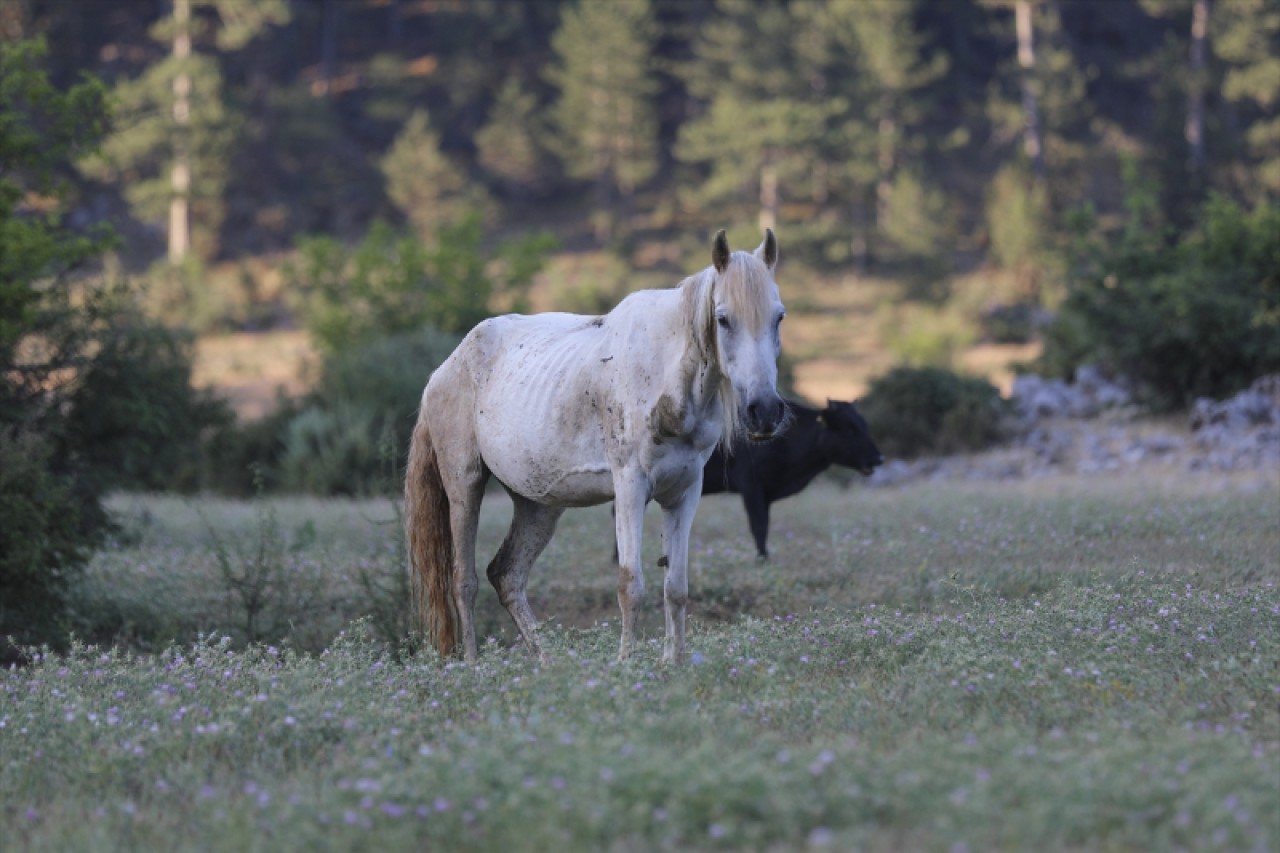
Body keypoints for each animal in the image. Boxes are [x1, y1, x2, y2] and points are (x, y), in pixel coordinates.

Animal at [407, 227, 788, 666]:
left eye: (779, 316)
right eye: (723, 319)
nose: (765, 411)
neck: (667, 379)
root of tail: (443, 370)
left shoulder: (684, 492)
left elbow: (676, 587)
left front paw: (673, 663)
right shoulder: (630, 487)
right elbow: (630, 585)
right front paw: (625, 665)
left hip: (538, 504)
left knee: (506, 576)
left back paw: (550, 664)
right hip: (464, 487)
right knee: (463, 580)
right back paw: (472, 665)